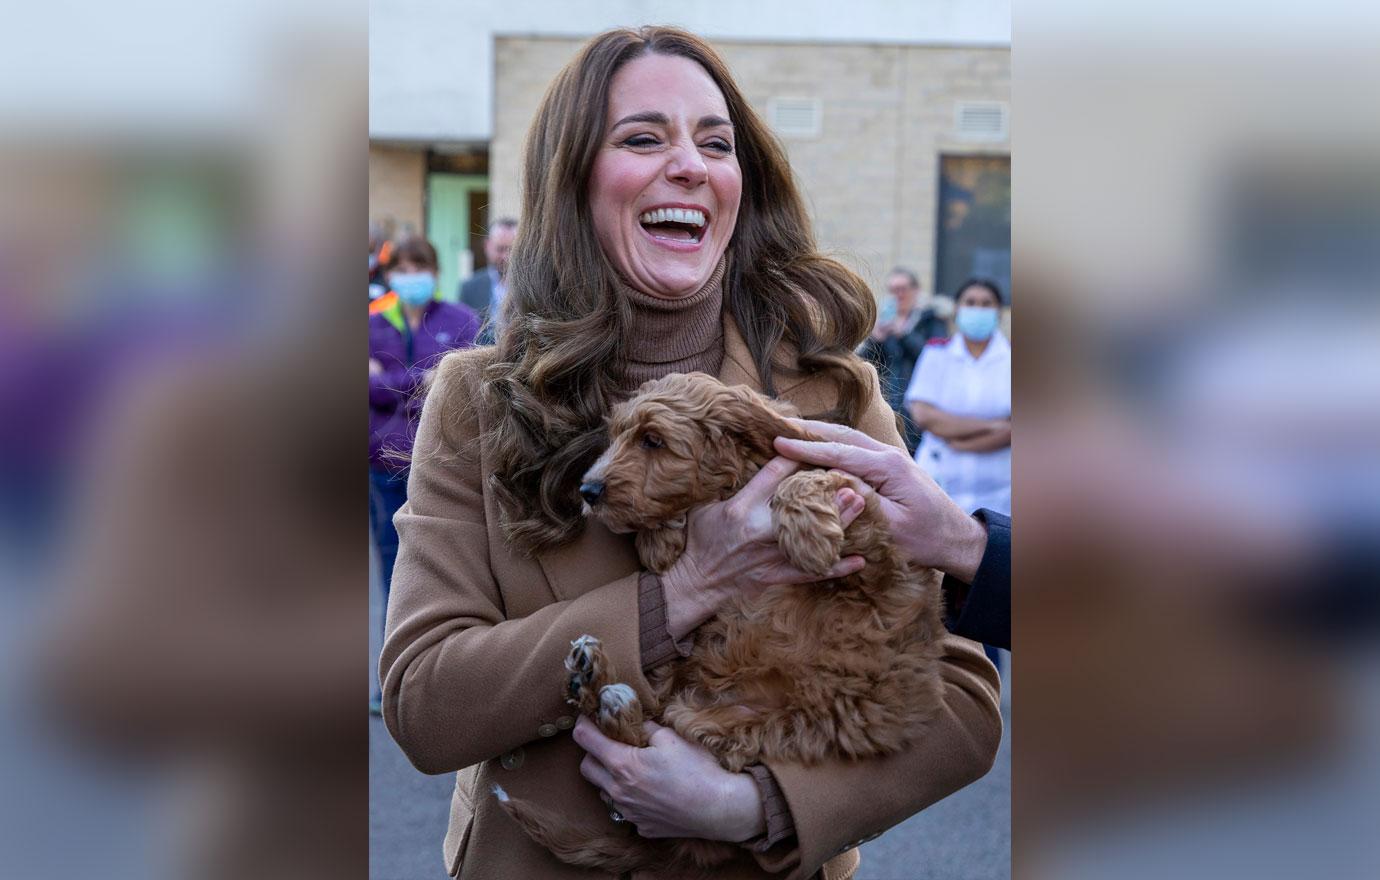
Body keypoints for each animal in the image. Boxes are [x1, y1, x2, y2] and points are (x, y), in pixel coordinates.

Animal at [496, 372, 949, 877]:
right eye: (615, 436)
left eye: (653, 440)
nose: (588, 492)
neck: (729, 485)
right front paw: (663, 538)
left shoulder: (872, 541)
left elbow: (806, 479)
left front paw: (809, 537)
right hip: (692, 698)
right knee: (644, 725)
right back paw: (595, 680)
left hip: (739, 729)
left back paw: (602, 689)